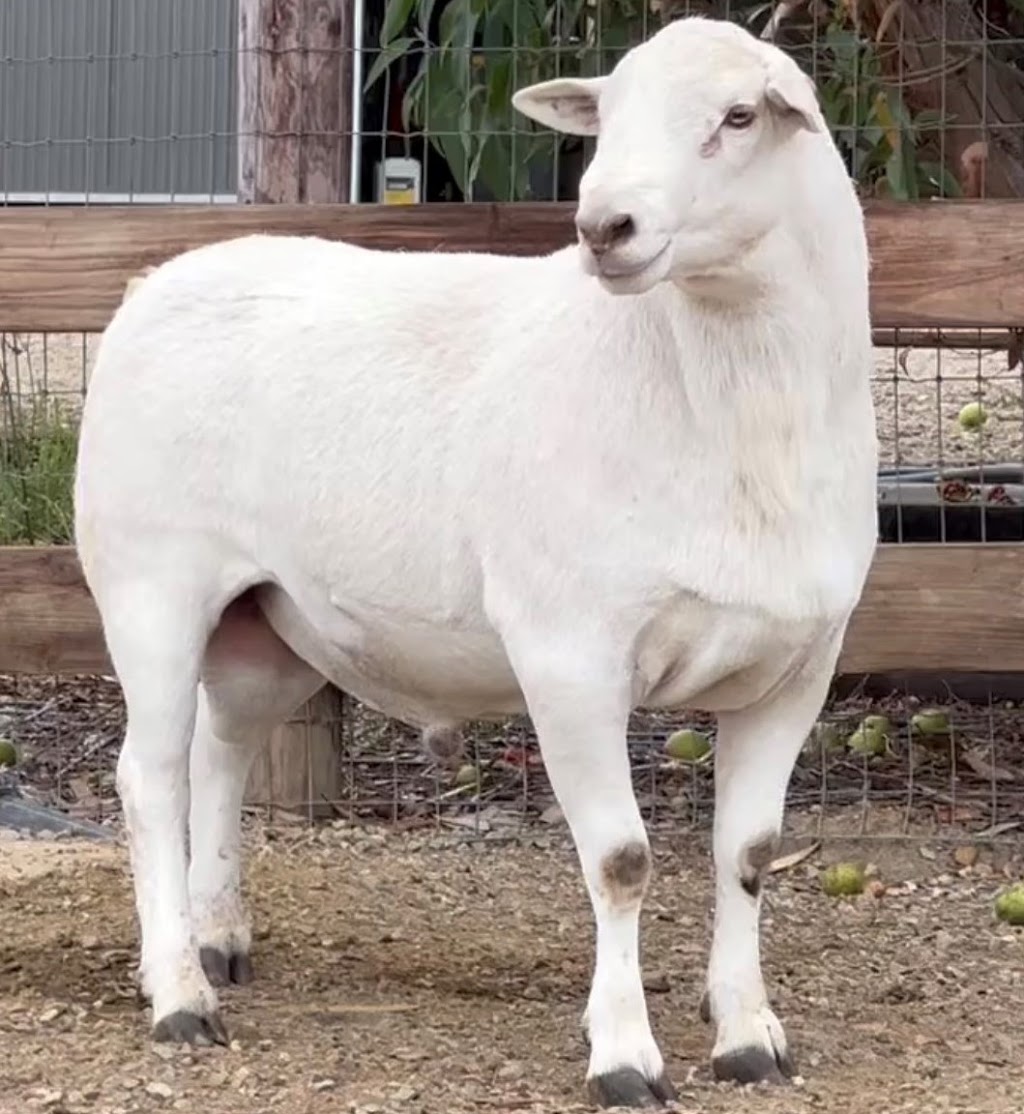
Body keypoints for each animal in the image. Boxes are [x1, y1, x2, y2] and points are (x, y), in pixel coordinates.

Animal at [73, 14, 878, 1109]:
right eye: (606, 117)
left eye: (740, 116)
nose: (604, 228)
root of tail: (153, 283)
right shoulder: (570, 654)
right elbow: (621, 861)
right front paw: (624, 1055)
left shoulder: (794, 668)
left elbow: (747, 853)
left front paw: (750, 1035)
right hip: (149, 584)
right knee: (149, 774)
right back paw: (179, 997)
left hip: (270, 619)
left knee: (219, 751)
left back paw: (216, 935)